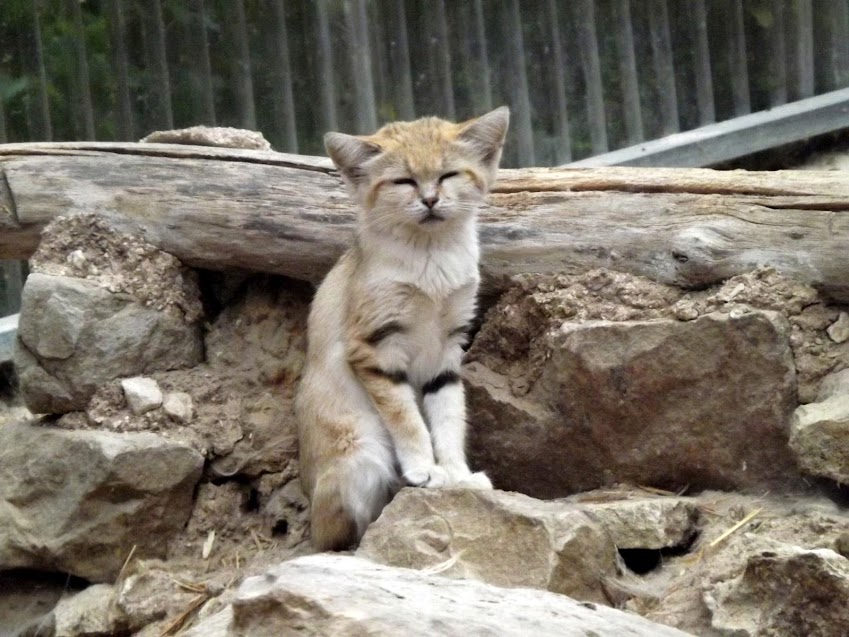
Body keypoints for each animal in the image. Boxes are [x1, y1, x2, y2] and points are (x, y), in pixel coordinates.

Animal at [296, 107, 510, 548]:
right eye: (403, 181)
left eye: (448, 175)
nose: (430, 199)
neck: (431, 255)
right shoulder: (374, 349)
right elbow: (408, 419)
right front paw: (424, 469)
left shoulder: (447, 350)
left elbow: (449, 415)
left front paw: (457, 474)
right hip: (361, 460)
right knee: (339, 537)